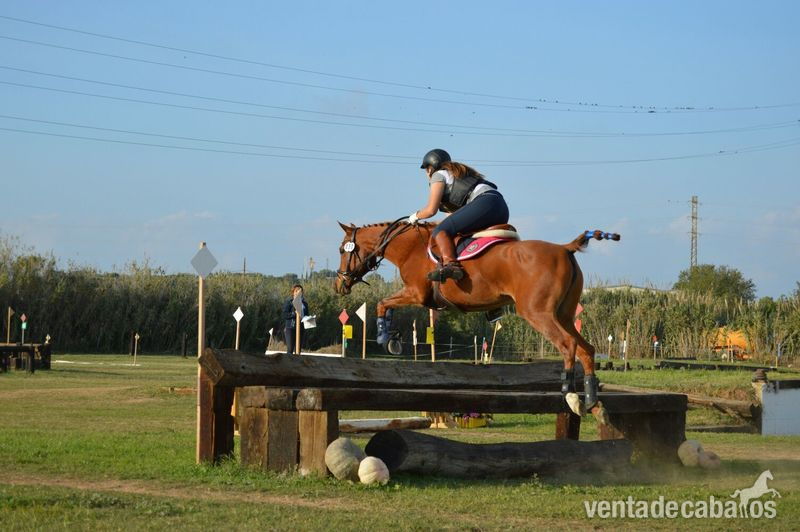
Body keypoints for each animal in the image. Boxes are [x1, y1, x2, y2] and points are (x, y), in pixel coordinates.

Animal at [334, 218, 620, 417]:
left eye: (341, 250)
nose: (339, 285)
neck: (411, 248)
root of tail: (564, 248)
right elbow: (385, 304)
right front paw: (392, 337)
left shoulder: (416, 293)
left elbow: (382, 304)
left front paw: (387, 337)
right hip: (565, 315)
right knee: (586, 349)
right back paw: (592, 401)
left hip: (537, 313)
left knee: (567, 345)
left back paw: (570, 395)